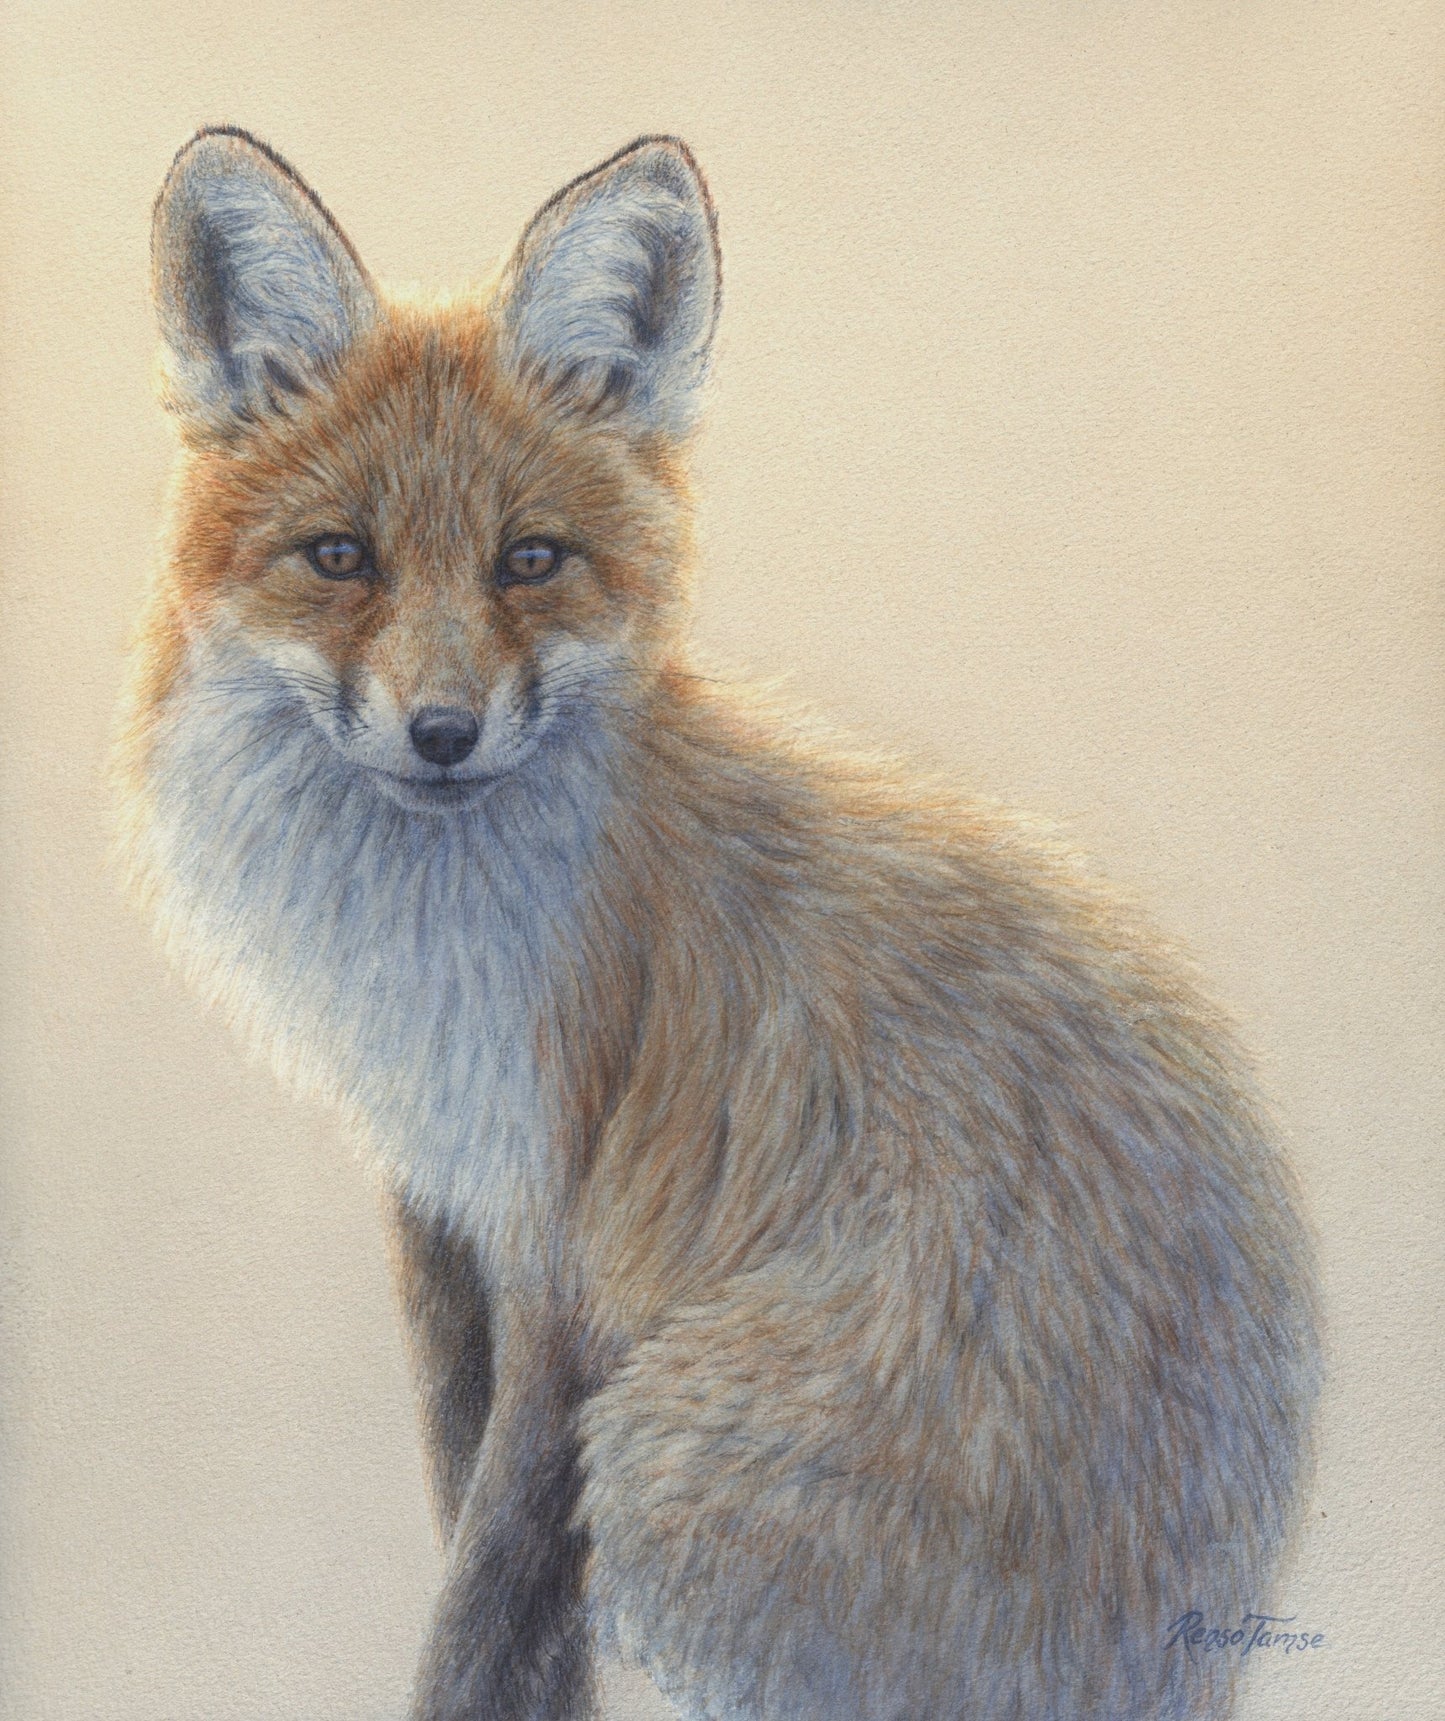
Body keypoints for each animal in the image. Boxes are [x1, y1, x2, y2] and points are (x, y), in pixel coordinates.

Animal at [116, 127, 1320, 1721]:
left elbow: (483, 1595)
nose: (440, 734)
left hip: (670, 1473)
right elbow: (485, 1544)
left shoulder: (572, 1244)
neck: (431, 954)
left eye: (529, 560)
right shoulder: (439, 1211)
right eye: (340, 557)